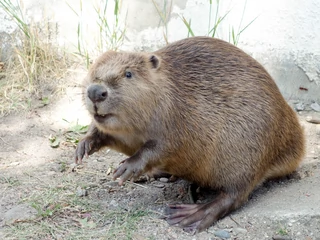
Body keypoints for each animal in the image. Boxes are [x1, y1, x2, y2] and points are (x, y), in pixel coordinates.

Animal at [74, 36, 304, 233]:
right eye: (93, 67)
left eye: (129, 73)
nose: (95, 92)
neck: (168, 90)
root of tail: (297, 144)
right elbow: (103, 132)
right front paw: (82, 148)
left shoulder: (181, 117)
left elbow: (164, 147)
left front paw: (126, 168)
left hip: (246, 153)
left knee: (235, 194)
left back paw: (190, 215)